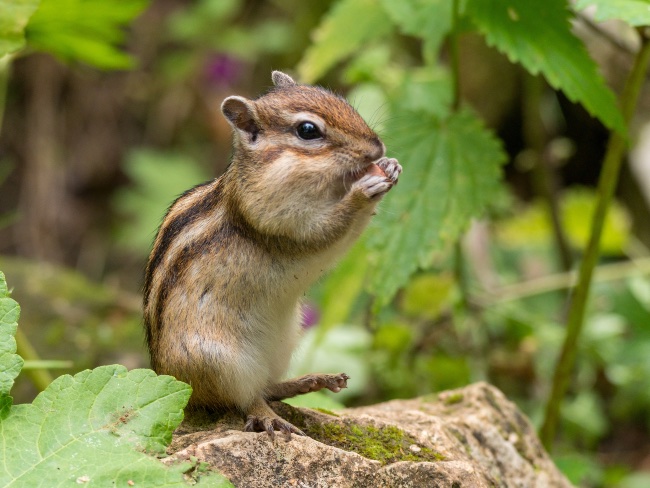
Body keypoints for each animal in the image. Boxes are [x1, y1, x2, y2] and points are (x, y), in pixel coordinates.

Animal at [143, 71, 402, 439]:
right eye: (308, 130)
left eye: (341, 101)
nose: (377, 148)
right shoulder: (279, 222)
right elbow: (328, 233)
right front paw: (362, 192)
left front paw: (389, 166)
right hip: (219, 362)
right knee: (244, 399)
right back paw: (270, 417)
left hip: (286, 341)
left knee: (268, 387)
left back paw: (312, 381)